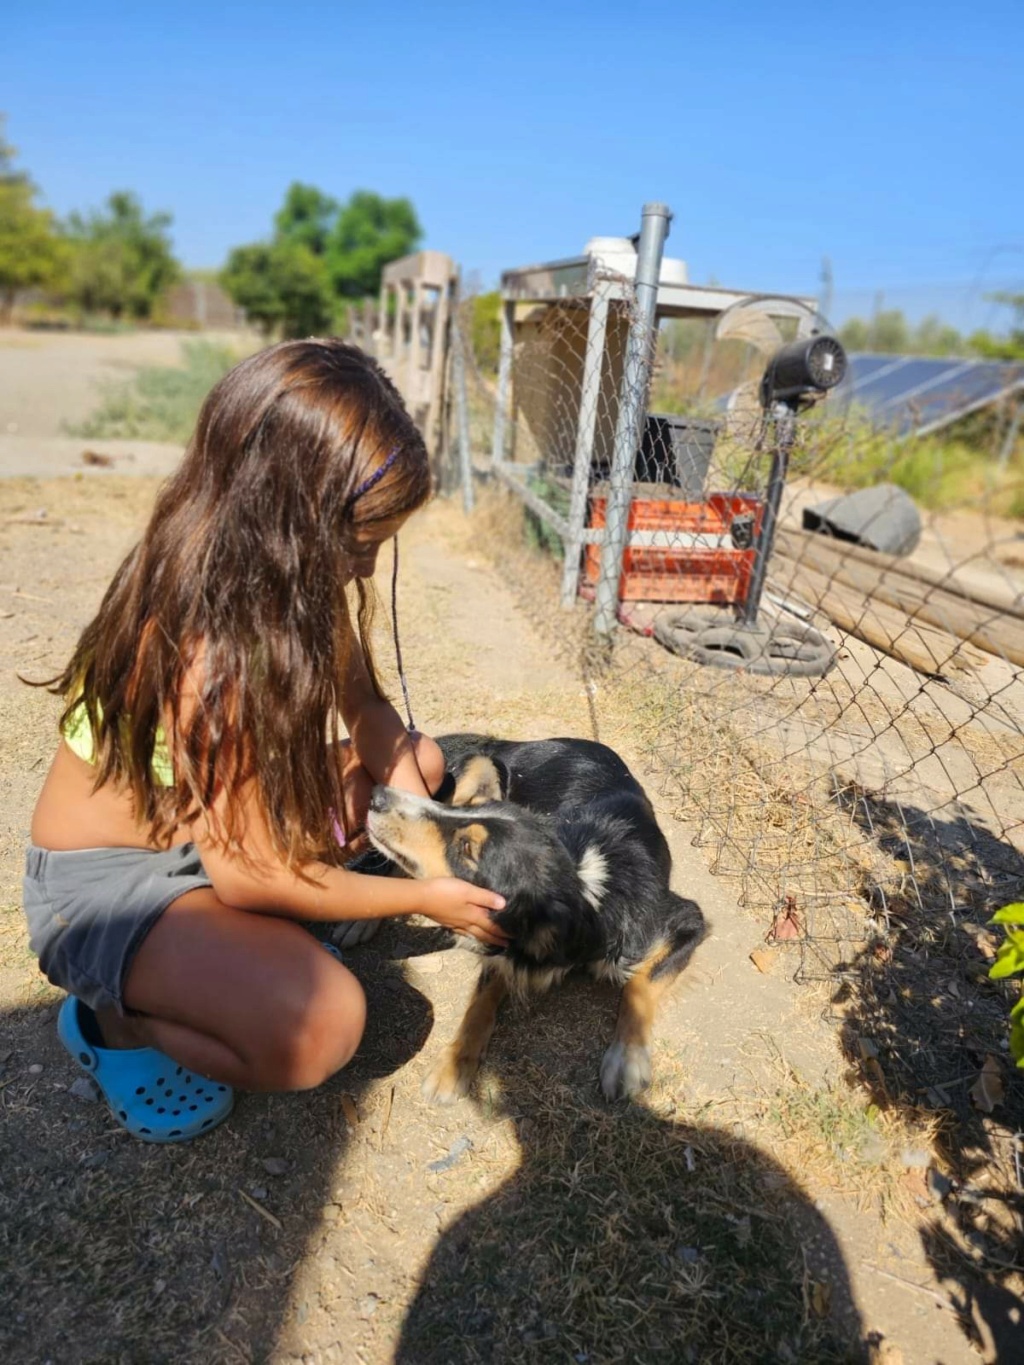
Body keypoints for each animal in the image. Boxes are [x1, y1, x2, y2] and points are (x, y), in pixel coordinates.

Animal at [365, 737, 709, 1097]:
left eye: (466, 848)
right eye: (466, 810)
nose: (377, 796)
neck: (584, 884)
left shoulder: (686, 921)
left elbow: (640, 985)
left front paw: (627, 1059)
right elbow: (480, 999)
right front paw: (454, 1064)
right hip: (481, 765)